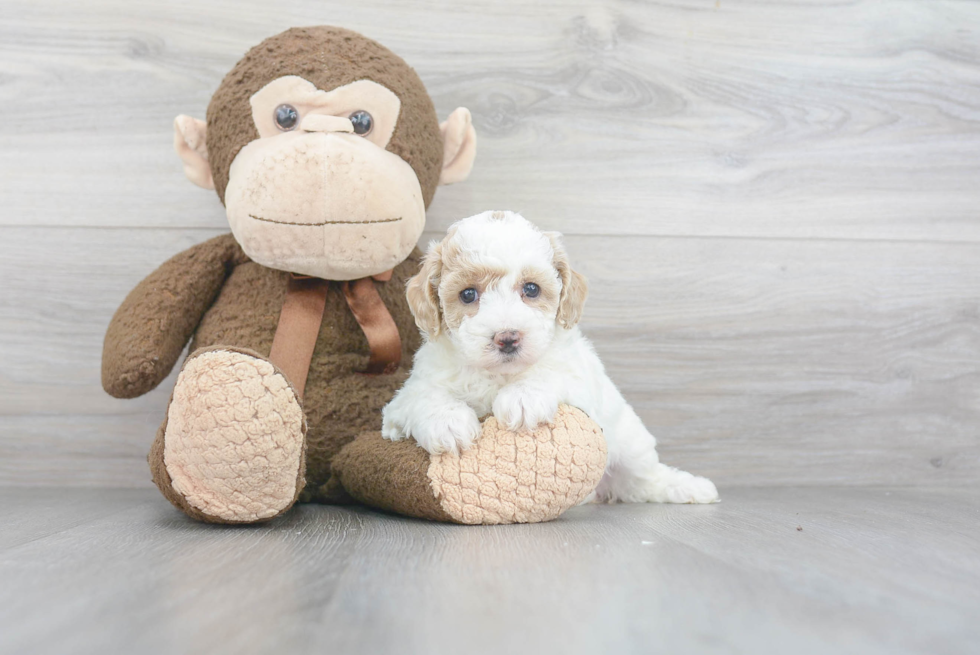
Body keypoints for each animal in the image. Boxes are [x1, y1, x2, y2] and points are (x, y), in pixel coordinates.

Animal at [382, 210, 720, 502]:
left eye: (531, 289)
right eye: (467, 294)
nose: (508, 338)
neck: (499, 374)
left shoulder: (580, 379)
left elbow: (550, 373)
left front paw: (522, 398)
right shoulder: (403, 400)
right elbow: (424, 396)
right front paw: (448, 423)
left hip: (630, 442)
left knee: (646, 478)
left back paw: (691, 488)